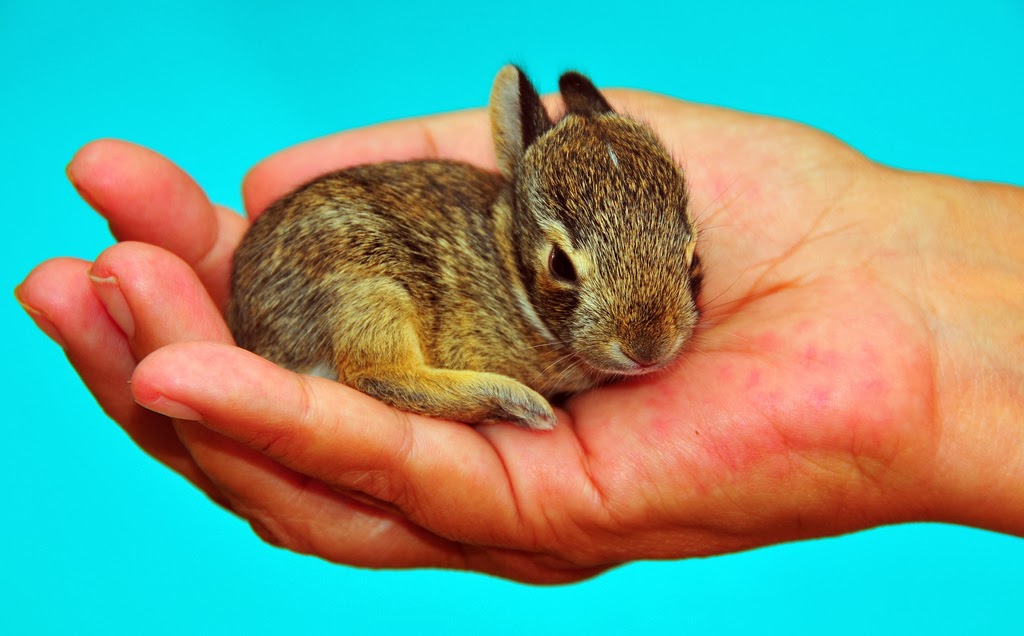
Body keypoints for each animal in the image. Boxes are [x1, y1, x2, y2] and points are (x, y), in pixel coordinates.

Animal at [228, 65, 702, 430]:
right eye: (560, 265)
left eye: (691, 253)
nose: (648, 349)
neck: (507, 262)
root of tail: (249, 327)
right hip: (368, 276)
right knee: (376, 373)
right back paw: (518, 405)